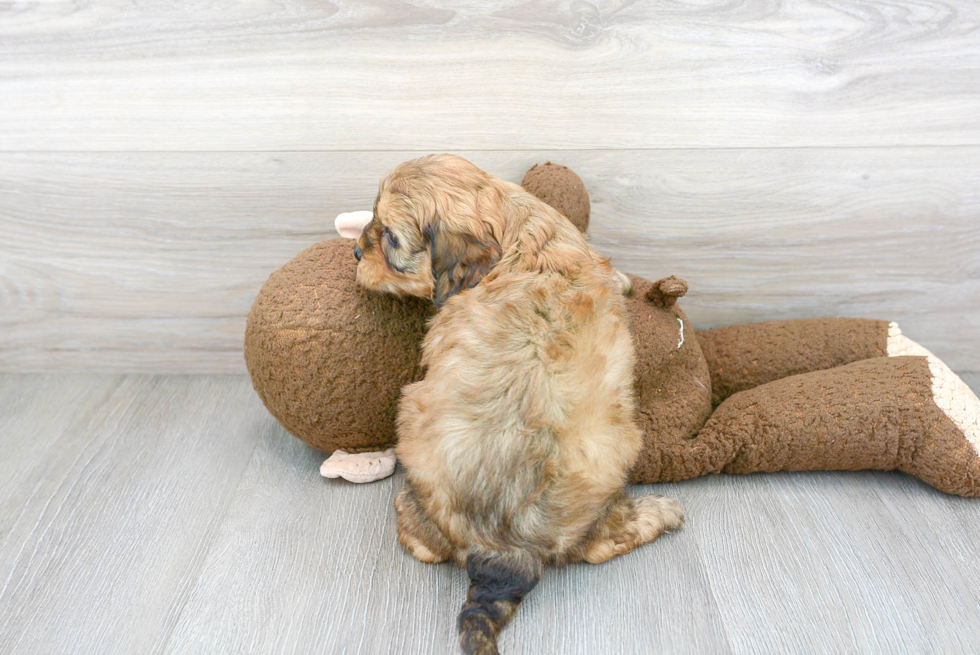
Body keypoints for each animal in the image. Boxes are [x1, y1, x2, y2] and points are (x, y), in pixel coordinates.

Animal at [352, 155, 680, 655]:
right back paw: (658, 513)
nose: (355, 252)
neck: (518, 233)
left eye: (389, 236)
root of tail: (504, 552)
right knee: (599, 544)